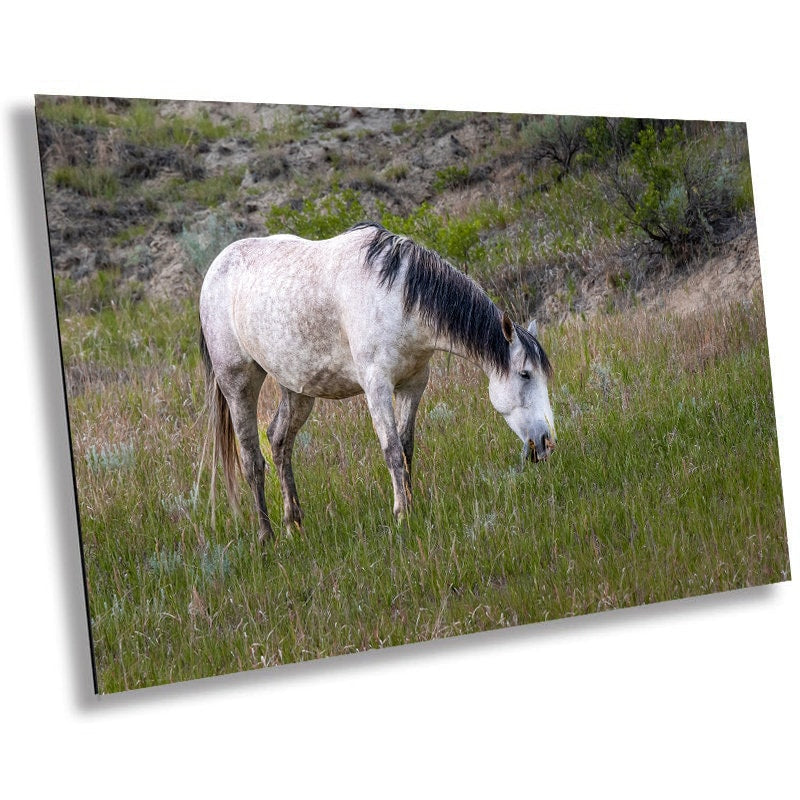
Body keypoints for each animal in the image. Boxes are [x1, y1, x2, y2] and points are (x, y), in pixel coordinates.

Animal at [198, 222, 556, 540]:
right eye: (525, 374)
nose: (545, 442)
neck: (397, 298)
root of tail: (215, 268)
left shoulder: (413, 384)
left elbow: (407, 448)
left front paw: (412, 507)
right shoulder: (377, 387)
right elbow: (392, 450)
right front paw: (402, 516)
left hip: (297, 389)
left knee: (278, 441)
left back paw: (294, 525)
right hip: (238, 384)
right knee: (252, 461)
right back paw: (266, 537)